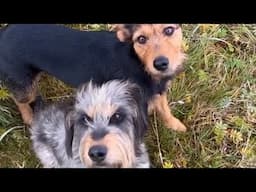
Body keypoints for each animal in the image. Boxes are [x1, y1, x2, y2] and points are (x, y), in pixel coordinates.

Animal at [0, 24, 188, 131]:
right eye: (141, 39)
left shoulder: (158, 92)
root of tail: (3, 33)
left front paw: (176, 126)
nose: (161, 63)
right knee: (20, 100)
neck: (137, 61)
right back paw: (29, 118)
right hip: (23, 85)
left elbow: (165, 110)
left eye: (169, 30)